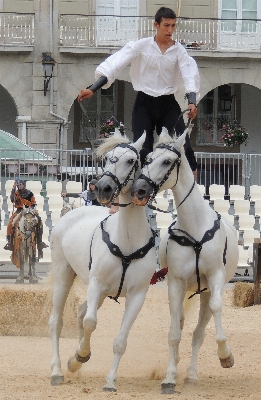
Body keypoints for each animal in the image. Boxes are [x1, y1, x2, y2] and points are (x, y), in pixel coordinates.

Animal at [49, 131, 157, 390]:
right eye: (108, 158)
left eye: (131, 160)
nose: (103, 188)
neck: (126, 239)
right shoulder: (96, 284)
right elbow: (90, 322)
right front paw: (79, 356)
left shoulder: (137, 295)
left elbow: (120, 341)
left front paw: (109, 381)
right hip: (64, 274)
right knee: (57, 321)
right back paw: (58, 370)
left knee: (79, 312)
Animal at [131, 127, 239, 394]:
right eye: (148, 159)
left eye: (167, 161)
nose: (139, 190)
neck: (195, 230)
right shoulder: (176, 283)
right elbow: (173, 332)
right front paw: (169, 377)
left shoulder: (215, 279)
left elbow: (216, 313)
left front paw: (226, 356)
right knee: (181, 324)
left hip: (205, 293)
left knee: (199, 332)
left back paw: (191, 375)